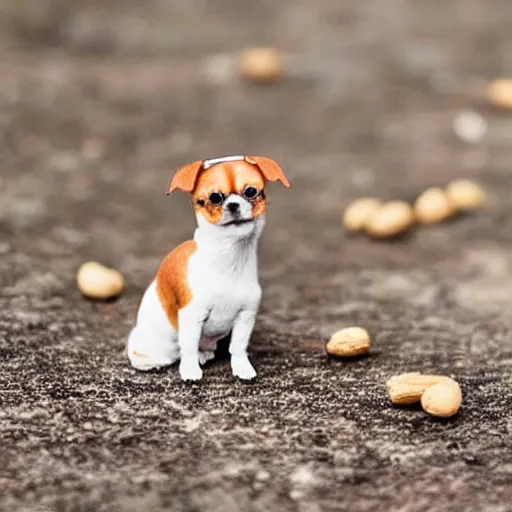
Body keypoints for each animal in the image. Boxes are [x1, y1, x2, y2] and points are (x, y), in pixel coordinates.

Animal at [126, 155, 290, 380]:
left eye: (250, 191)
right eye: (215, 197)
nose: (233, 205)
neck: (230, 259)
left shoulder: (245, 316)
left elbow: (238, 347)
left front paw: (242, 367)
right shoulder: (192, 316)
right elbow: (188, 346)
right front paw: (190, 370)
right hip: (150, 344)